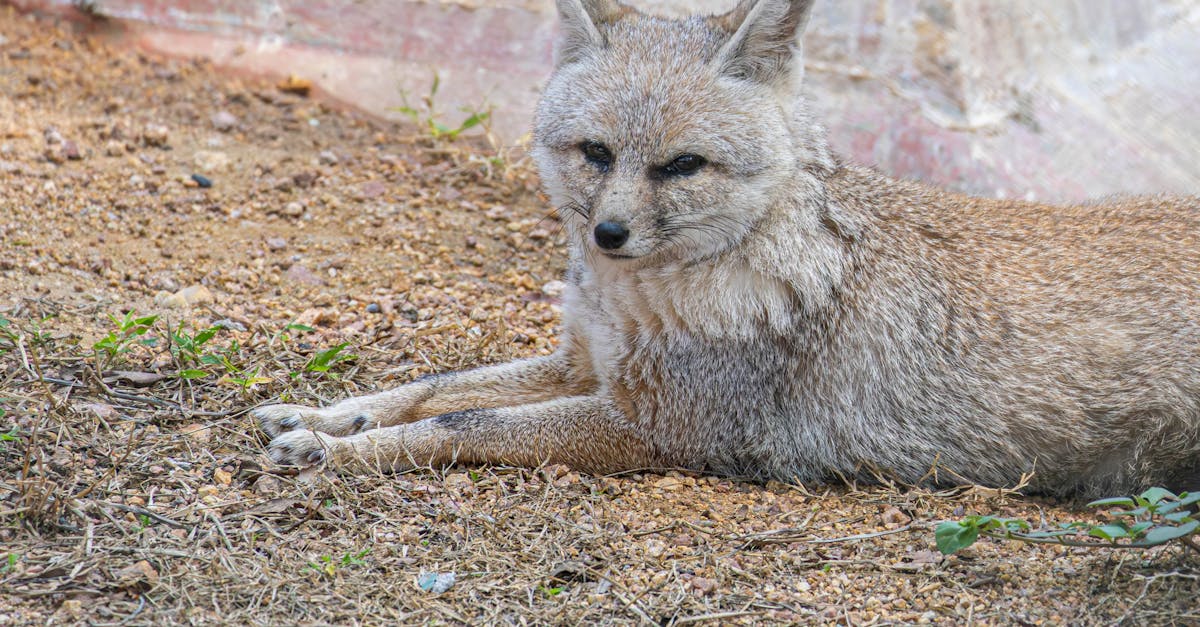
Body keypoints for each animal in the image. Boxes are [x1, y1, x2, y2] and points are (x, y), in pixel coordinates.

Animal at [248, 0, 1195, 497]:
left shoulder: (653, 427)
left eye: (682, 166)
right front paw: (329, 415)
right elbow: (434, 385)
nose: (610, 234)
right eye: (596, 153)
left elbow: (461, 419)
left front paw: (338, 452)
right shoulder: (583, 362)